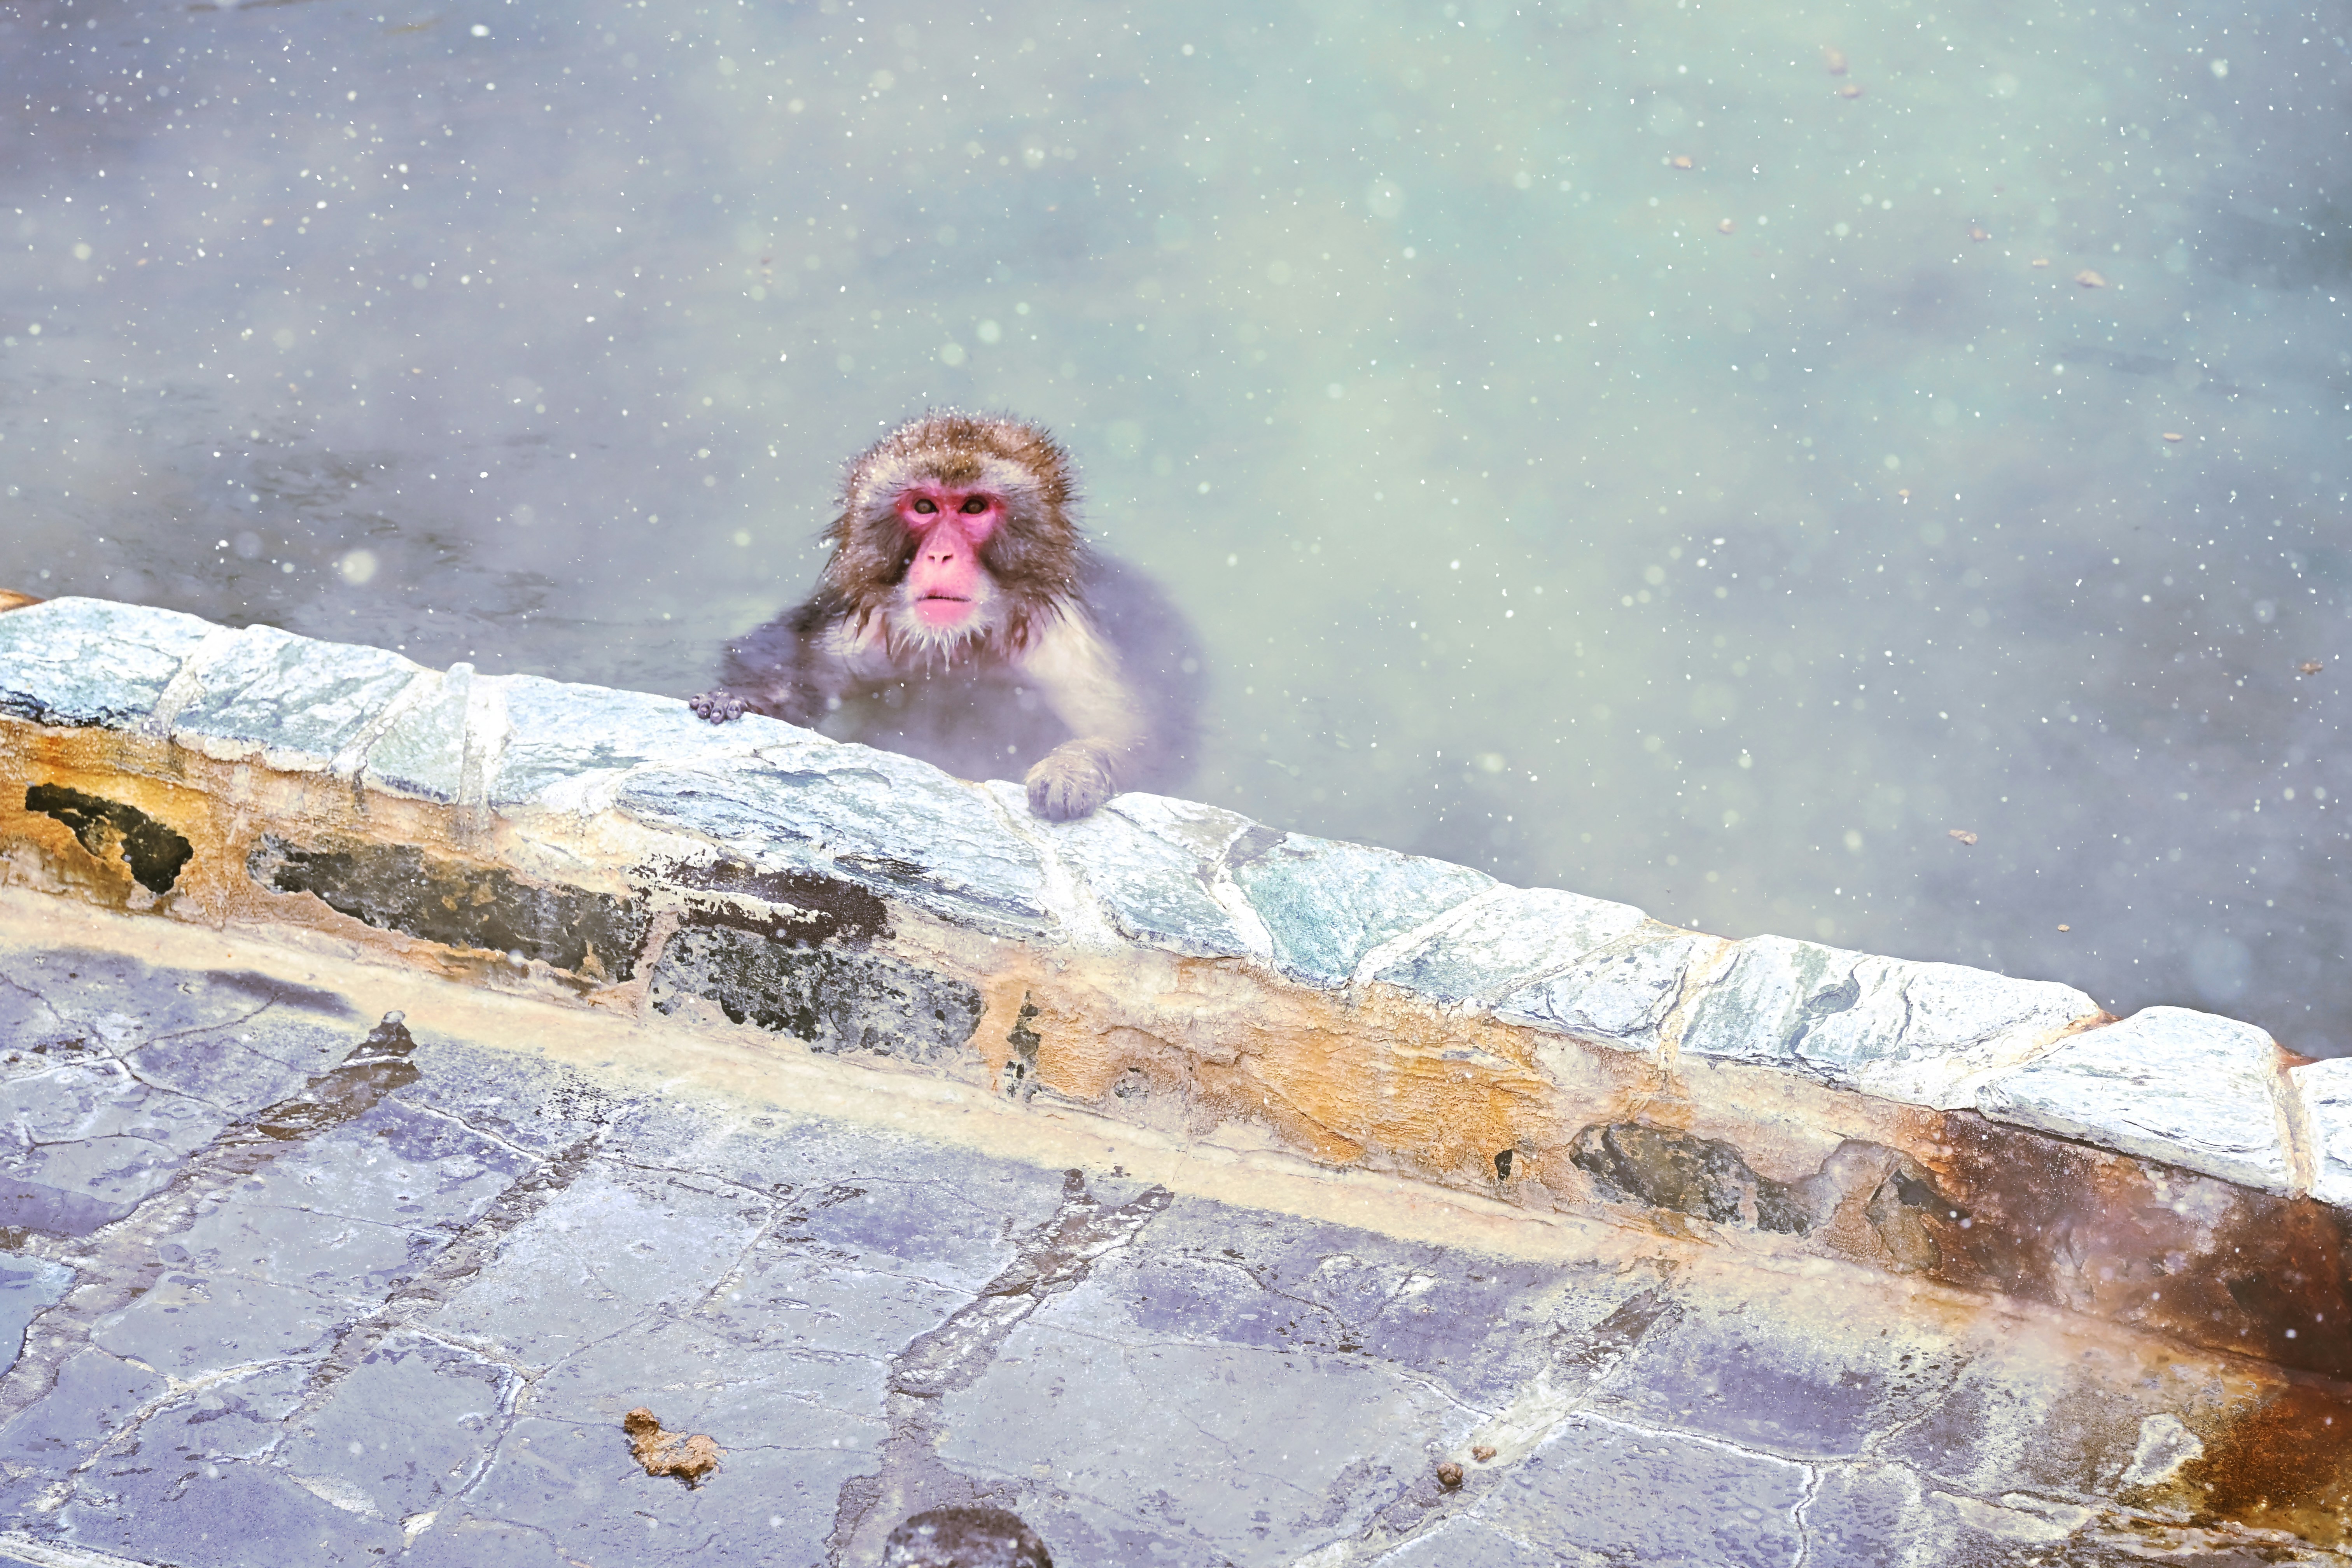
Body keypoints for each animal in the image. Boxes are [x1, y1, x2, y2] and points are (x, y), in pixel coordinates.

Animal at [689, 411, 1201, 821]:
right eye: (924, 507)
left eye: (974, 507)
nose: (940, 555)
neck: (961, 645)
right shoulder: (872, 631)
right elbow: (786, 656)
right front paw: (743, 697)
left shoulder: (1063, 644)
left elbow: (1141, 738)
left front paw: (1072, 768)